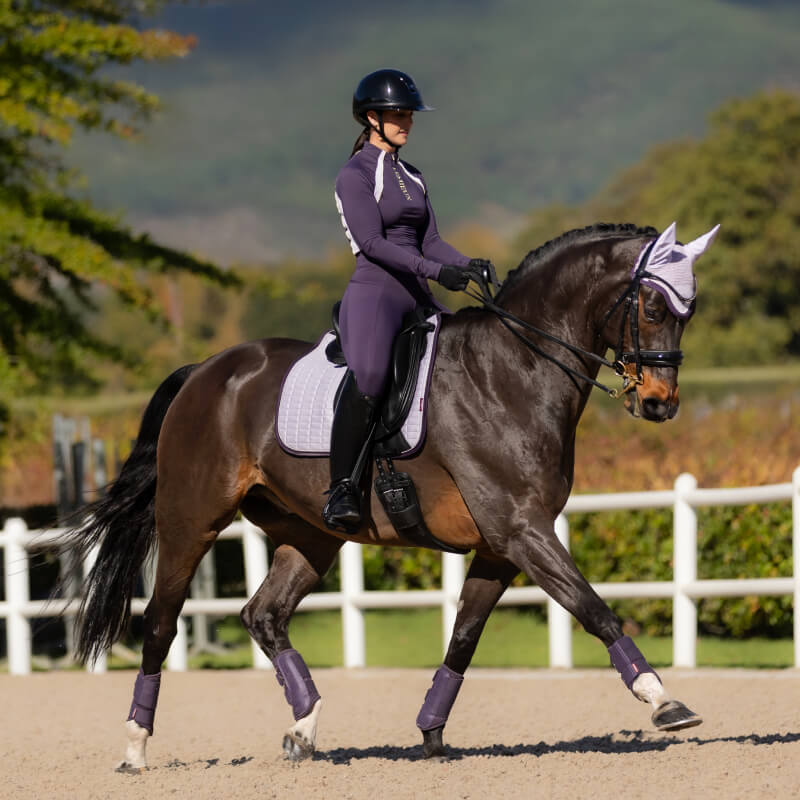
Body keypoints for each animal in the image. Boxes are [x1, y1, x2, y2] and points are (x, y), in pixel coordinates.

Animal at [58, 221, 718, 769]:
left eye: (689, 313)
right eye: (652, 306)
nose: (659, 402)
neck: (513, 370)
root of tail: (205, 371)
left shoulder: (501, 546)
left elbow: (465, 637)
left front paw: (431, 731)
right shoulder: (521, 531)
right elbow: (594, 608)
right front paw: (664, 702)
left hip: (311, 534)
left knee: (264, 615)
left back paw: (303, 730)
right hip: (190, 522)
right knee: (160, 624)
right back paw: (136, 748)